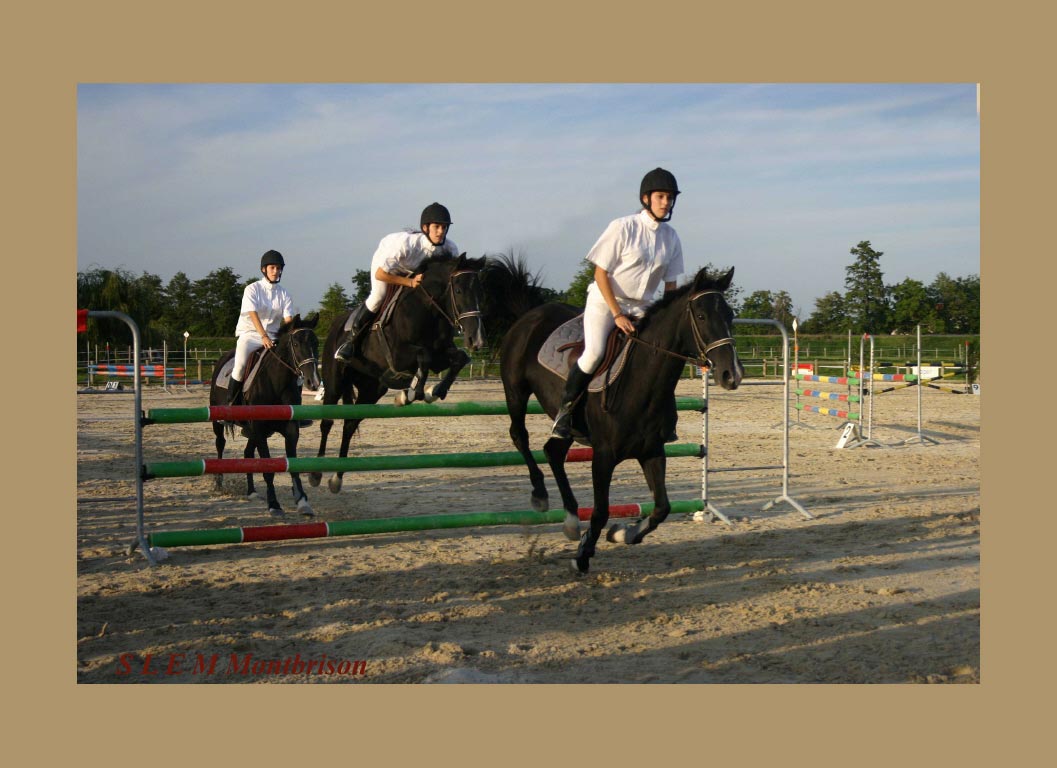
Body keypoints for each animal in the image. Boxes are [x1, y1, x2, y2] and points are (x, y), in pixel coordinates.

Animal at [206, 312, 319, 517]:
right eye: (296, 344)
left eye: (316, 343)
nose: (313, 382)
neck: (275, 382)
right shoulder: (259, 429)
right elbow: (267, 470)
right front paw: (274, 504)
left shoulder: (289, 430)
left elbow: (293, 466)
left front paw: (302, 501)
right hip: (219, 422)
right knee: (220, 444)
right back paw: (219, 483)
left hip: (254, 431)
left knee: (248, 454)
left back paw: (251, 492)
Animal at [308, 252, 484, 492]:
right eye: (458, 290)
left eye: (479, 292)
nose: (476, 340)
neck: (428, 310)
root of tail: (337, 325)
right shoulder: (400, 355)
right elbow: (423, 357)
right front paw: (410, 394)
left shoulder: (440, 355)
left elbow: (459, 358)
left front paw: (433, 391)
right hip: (335, 382)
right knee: (327, 422)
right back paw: (315, 473)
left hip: (371, 390)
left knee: (350, 424)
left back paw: (337, 478)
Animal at [496, 267, 739, 574]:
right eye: (702, 316)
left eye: (730, 315)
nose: (732, 374)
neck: (640, 382)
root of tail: (531, 313)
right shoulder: (603, 455)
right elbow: (601, 511)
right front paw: (582, 556)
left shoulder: (652, 451)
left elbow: (662, 508)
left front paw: (623, 533)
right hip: (515, 391)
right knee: (520, 435)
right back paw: (540, 495)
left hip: (567, 426)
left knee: (553, 451)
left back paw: (571, 520)